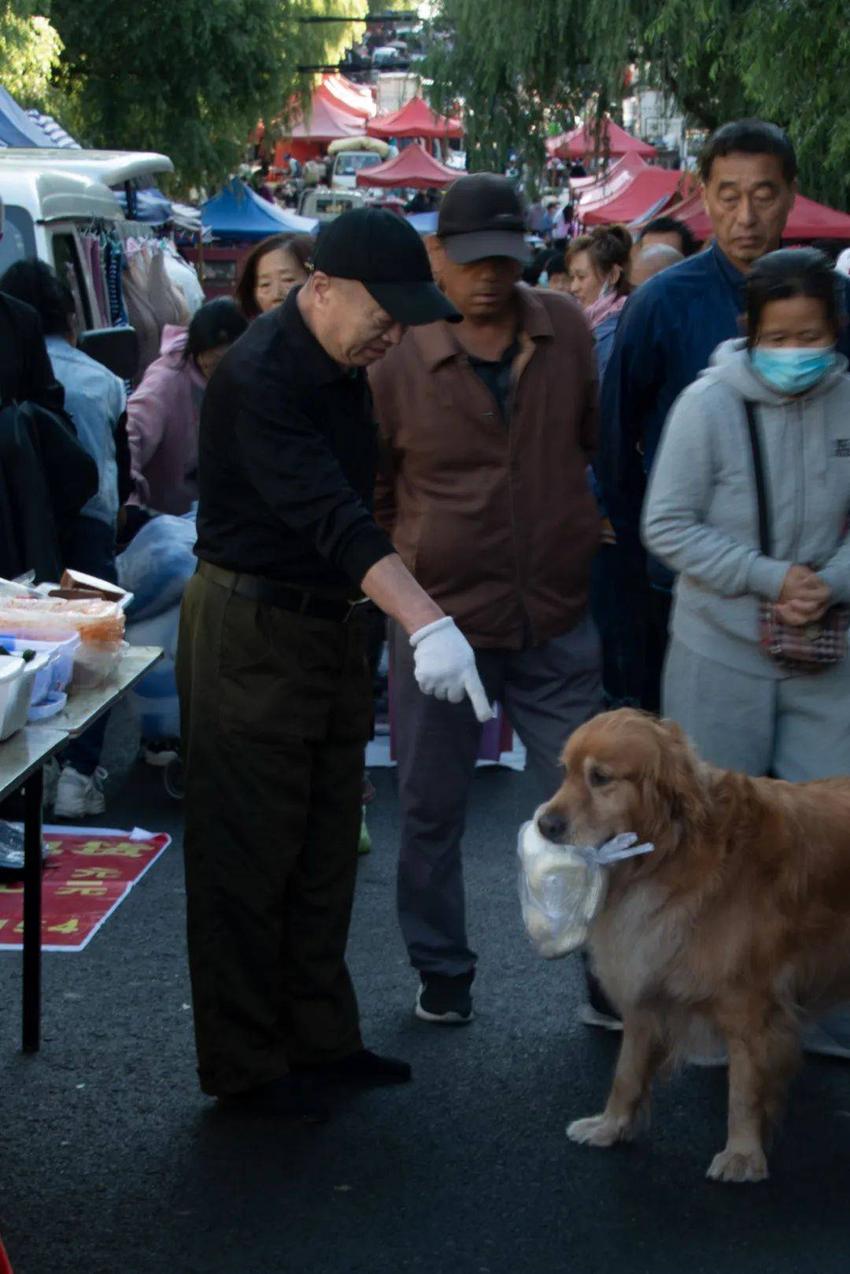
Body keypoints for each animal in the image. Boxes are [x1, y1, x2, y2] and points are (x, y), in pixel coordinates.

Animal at [537, 708, 850, 1182]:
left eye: (600, 778)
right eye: (566, 772)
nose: (544, 824)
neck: (670, 855)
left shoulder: (750, 1004)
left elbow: (745, 1088)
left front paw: (743, 1154)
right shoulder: (644, 982)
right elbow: (627, 1071)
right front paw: (611, 1125)